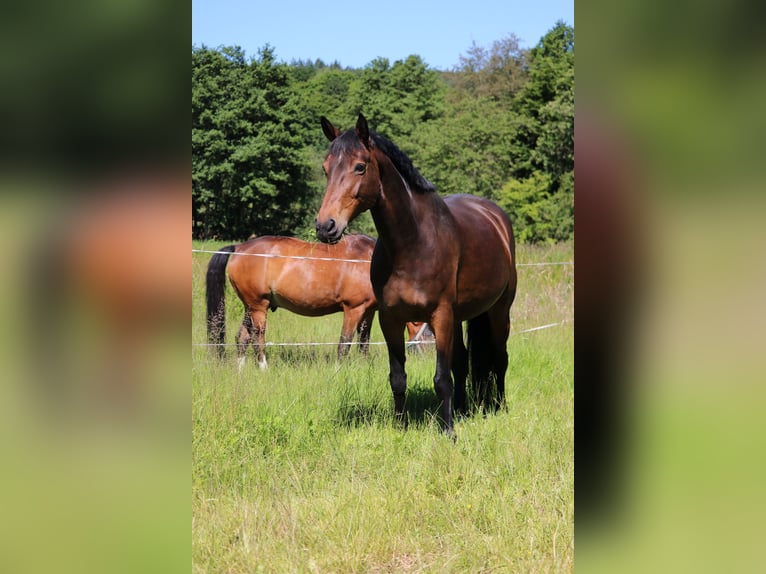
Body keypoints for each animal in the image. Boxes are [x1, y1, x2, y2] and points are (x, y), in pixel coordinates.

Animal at [208, 235, 380, 366]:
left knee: (242, 338)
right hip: (258, 307)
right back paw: (264, 369)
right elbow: (344, 345)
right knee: (257, 338)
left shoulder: (368, 312)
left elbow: (364, 343)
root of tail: (240, 248)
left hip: (249, 307)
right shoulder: (353, 309)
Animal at [316, 115, 520, 434]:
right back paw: (461, 409)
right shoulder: (390, 319)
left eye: (360, 166)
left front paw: (448, 432)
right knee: (462, 361)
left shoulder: (440, 315)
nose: (326, 226)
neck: (412, 244)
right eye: (326, 169)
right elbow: (398, 377)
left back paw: (498, 406)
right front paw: (400, 427)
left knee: (500, 358)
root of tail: (496, 217)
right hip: (460, 316)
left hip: (498, 311)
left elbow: (441, 378)